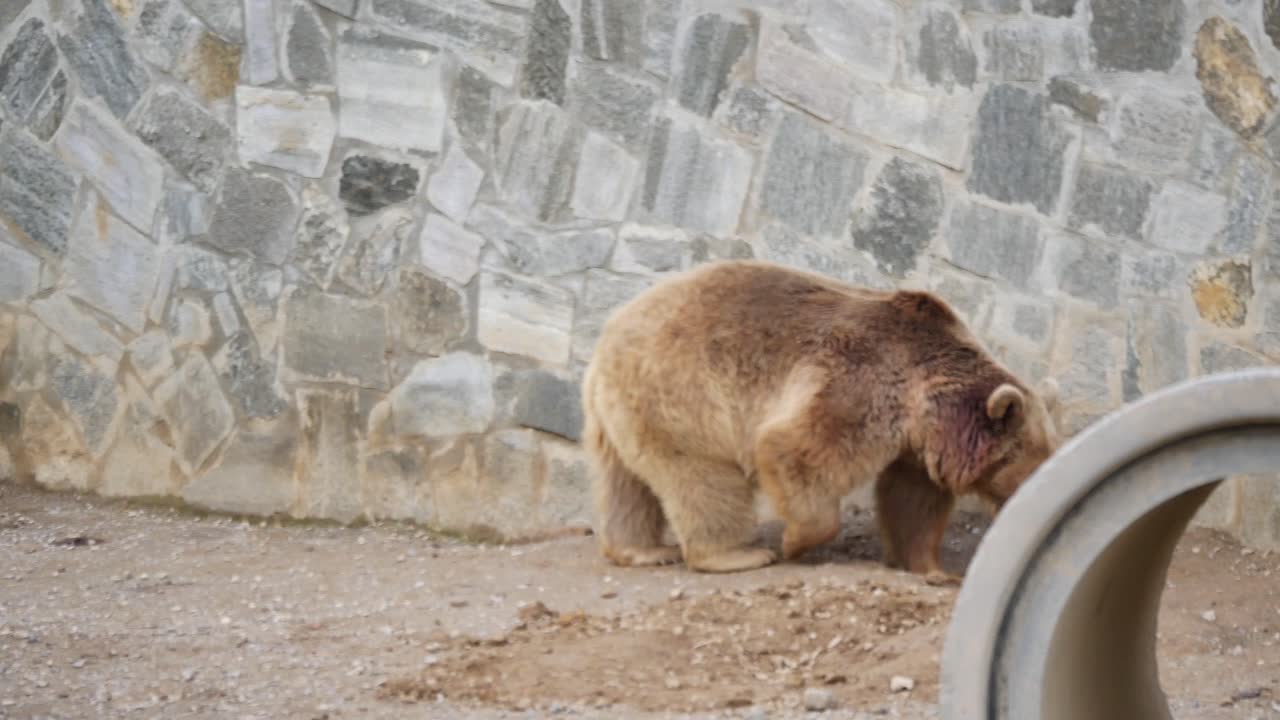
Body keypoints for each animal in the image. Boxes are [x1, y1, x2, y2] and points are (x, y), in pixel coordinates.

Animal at [580, 259, 1062, 580]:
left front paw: (933, 570)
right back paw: (736, 554)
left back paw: (639, 550)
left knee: (625, 481)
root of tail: (607, 334)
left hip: (618, 413)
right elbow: (797, 448)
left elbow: (913, 501)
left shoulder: (916, 442)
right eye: (1037, 459)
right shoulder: (865, 379)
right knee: (702, 477)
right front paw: (796, 541)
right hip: (684, 393)